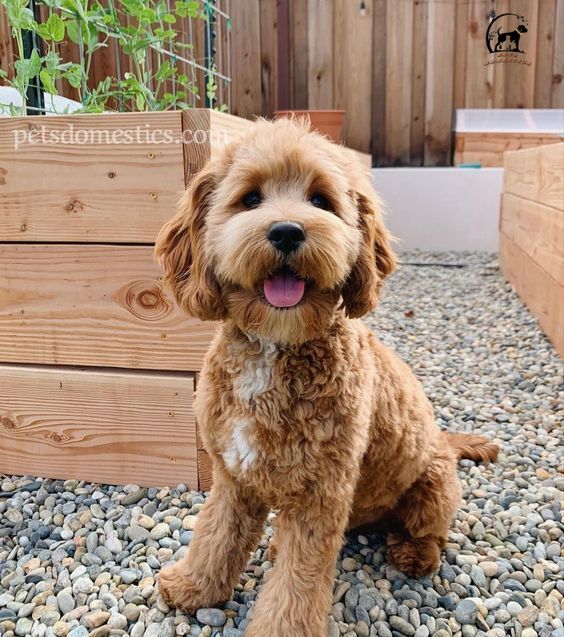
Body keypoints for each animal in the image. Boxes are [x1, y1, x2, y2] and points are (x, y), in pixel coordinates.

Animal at [154, 119, 498, 636]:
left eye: (321, 200)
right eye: (250, 198)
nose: (286, 231)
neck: (276, 347)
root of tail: (445, 441)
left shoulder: (319, 495)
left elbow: (296, 586)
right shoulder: (233, 477)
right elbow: (215, 535)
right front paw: (193, 587)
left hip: (433, 486)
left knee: (431, 534)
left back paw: (414, 554)